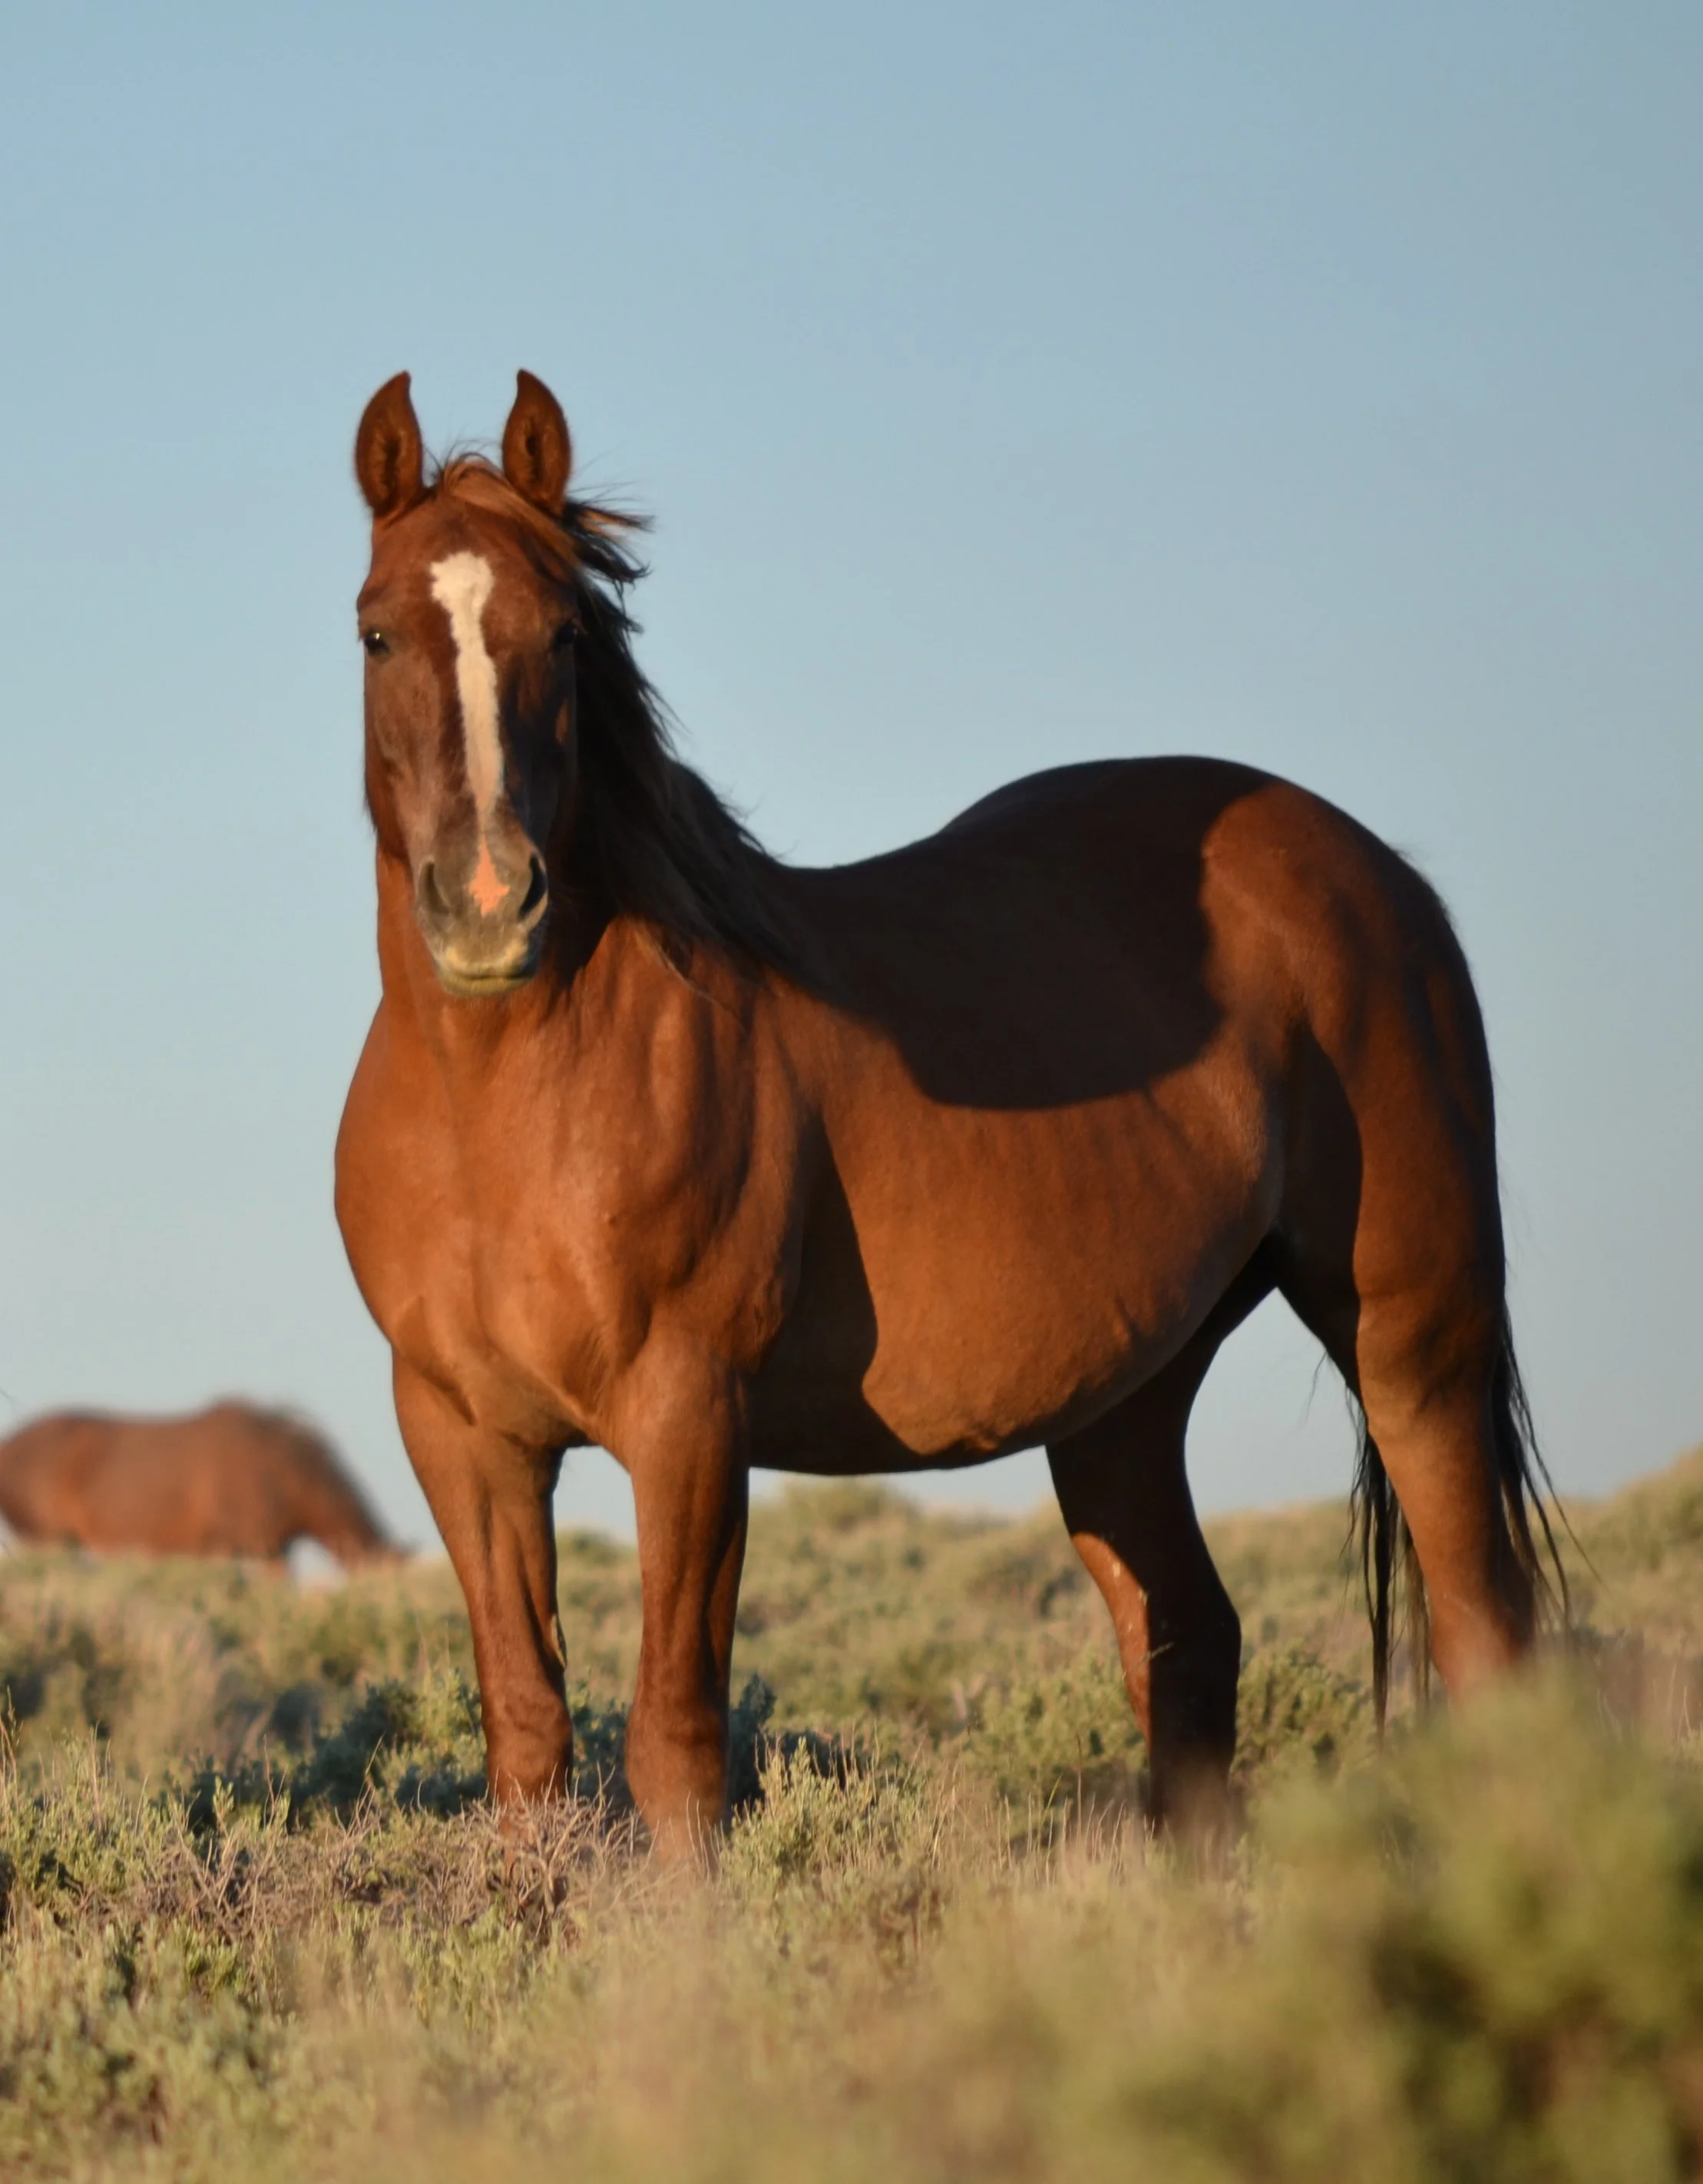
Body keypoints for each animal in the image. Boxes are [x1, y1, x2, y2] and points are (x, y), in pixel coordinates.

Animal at [335, 368, 1562, 1853]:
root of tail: (1380, 873)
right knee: (1187, 1645)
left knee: (1485, 1634)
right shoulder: (465, 1438)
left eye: (563, 634)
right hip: (1124, 1403)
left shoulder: (687, 1419)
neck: (505, 1105)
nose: (487, 904)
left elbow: (676, 1748)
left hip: (1411, 1344)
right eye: (378, 631)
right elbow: (526, 1744)